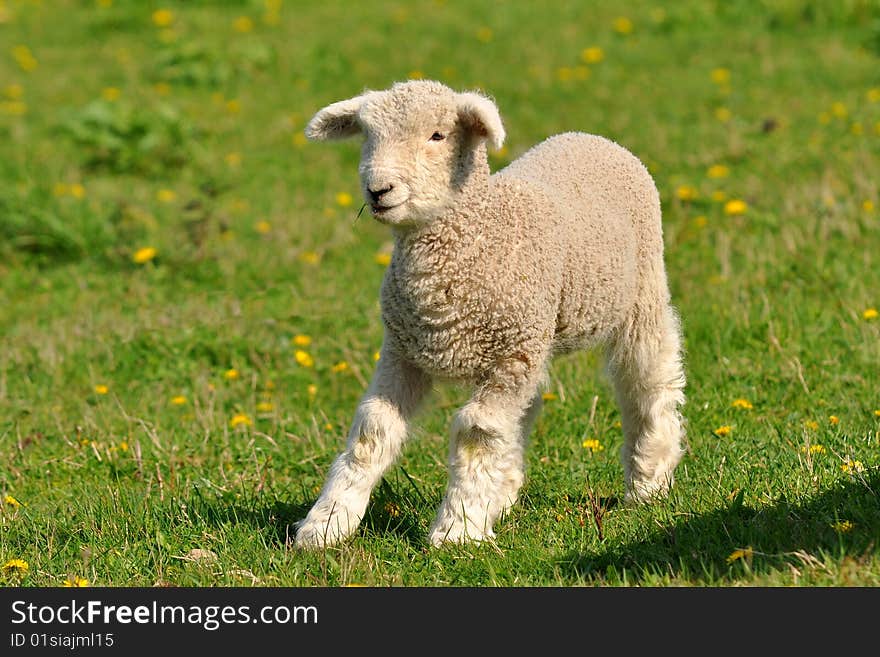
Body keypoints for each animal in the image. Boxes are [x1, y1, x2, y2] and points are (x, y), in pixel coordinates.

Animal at [296, 79, 688, 544]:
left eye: (438, 135)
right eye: (367, 136)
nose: (378, 189)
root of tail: (589, 137)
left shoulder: (508, 357)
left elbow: (477, 433)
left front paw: (458, 529)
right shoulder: (403, 350)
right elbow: (372, 430)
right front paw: (326, 525)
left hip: (640, 292)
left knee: (648, 377)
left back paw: (649, 481)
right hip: (535, 337)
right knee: (528, 406)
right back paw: (502, 494)